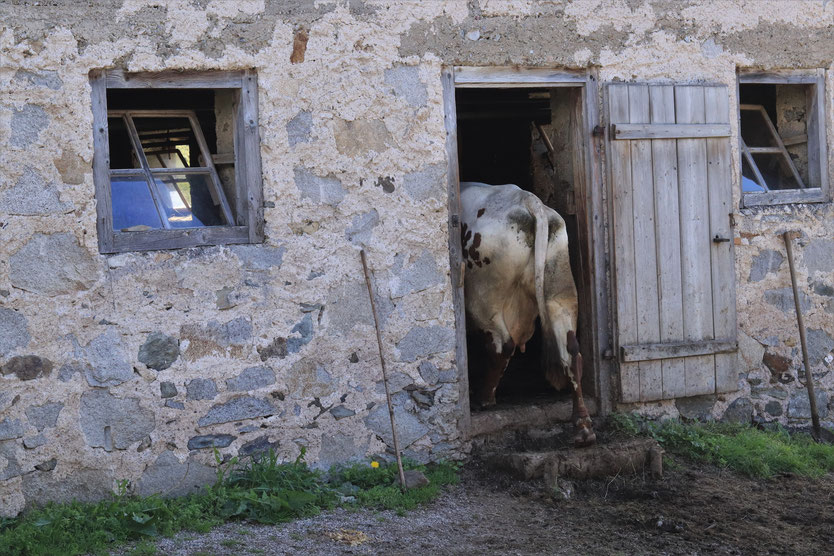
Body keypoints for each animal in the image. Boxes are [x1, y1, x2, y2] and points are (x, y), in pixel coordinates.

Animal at [458, 182, 596, 448]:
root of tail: (528, 200)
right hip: (559, 290)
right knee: (572, 351)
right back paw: (582, 426)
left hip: (482, 299)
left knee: (502, 345)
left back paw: (484, 398)